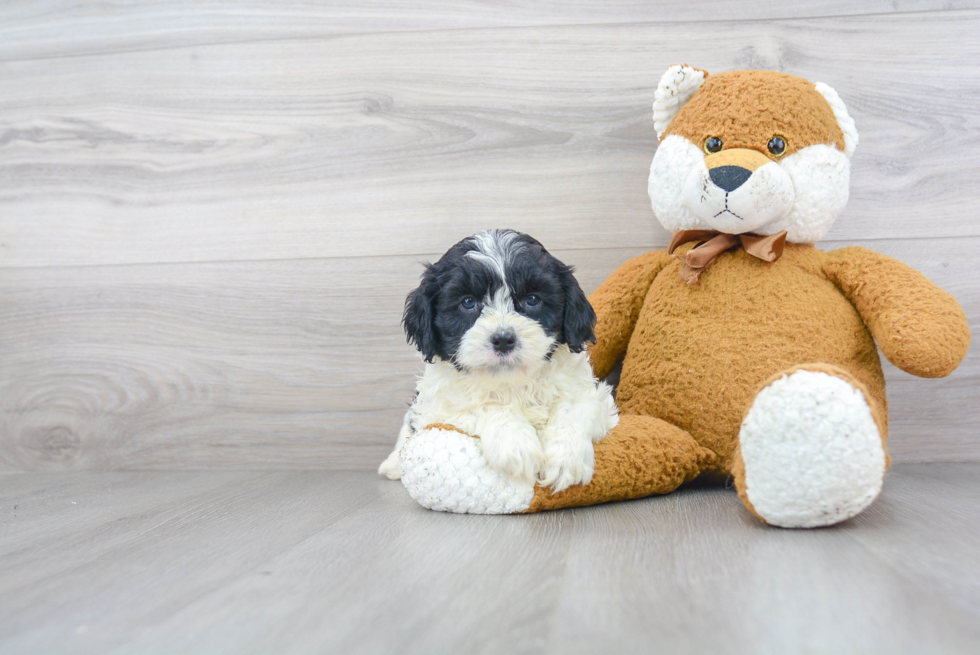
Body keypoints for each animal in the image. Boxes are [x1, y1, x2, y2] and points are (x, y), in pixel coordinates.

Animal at [378, 231, 616, 492]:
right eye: (468, 302)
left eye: (532, 299)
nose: (503, 339)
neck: (511, 383)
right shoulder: (438, 407)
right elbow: (483, 405)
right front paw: (516, 444)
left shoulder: (593, 395)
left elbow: (573, 408)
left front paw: (566, 459)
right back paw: (392, 464)